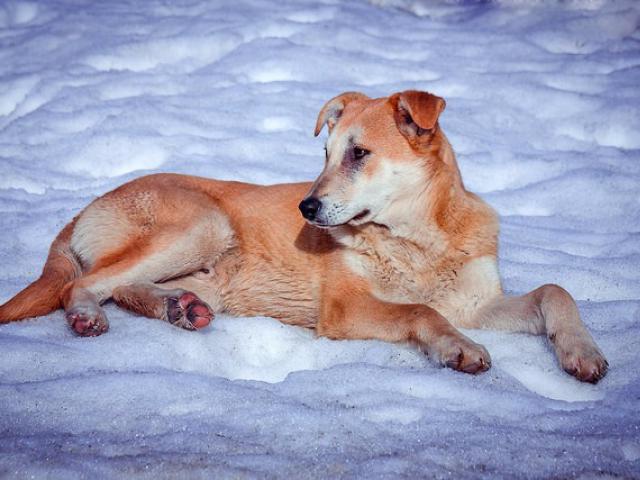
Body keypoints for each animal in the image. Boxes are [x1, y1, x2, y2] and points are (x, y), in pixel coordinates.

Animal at [0, 89, 608, 382]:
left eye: (359, 153)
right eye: (325, 154)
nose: (307, 207)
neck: (418, 241)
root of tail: (85, 206)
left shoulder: (477, 303)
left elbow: (555, 291)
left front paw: (581, 353)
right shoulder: (345, 308)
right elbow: (419, 311)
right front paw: (457, 349)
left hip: (207, 265)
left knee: (126, 287)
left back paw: (181, 309)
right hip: (203, 223)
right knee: (80, 286)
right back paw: (88, 316)